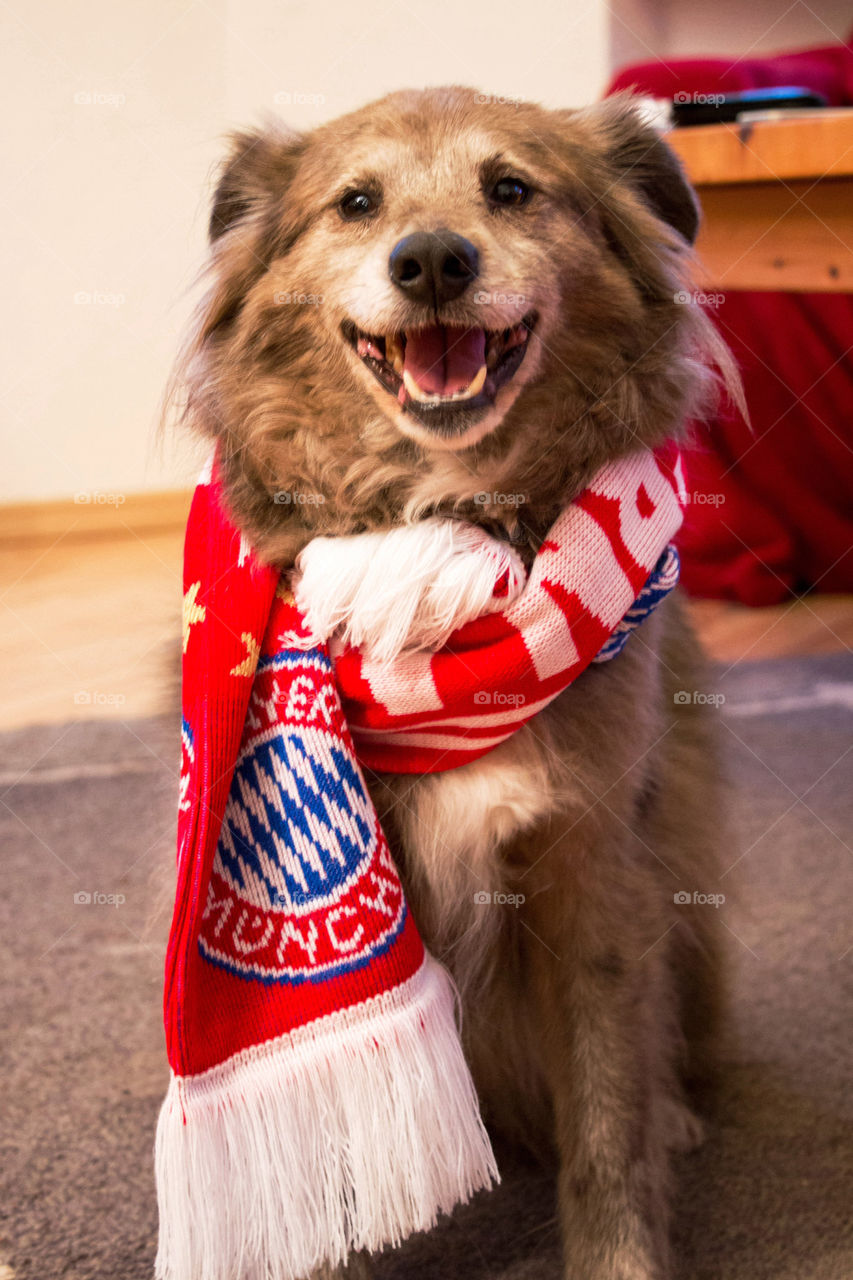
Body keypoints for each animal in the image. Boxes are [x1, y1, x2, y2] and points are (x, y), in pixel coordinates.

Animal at [172, 87, 732, 1280]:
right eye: (356, 202)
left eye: (511, 187)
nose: (431, 259)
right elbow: (333, 1166)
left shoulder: (591, 865)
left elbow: (607, 1110)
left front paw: (620, 1252)